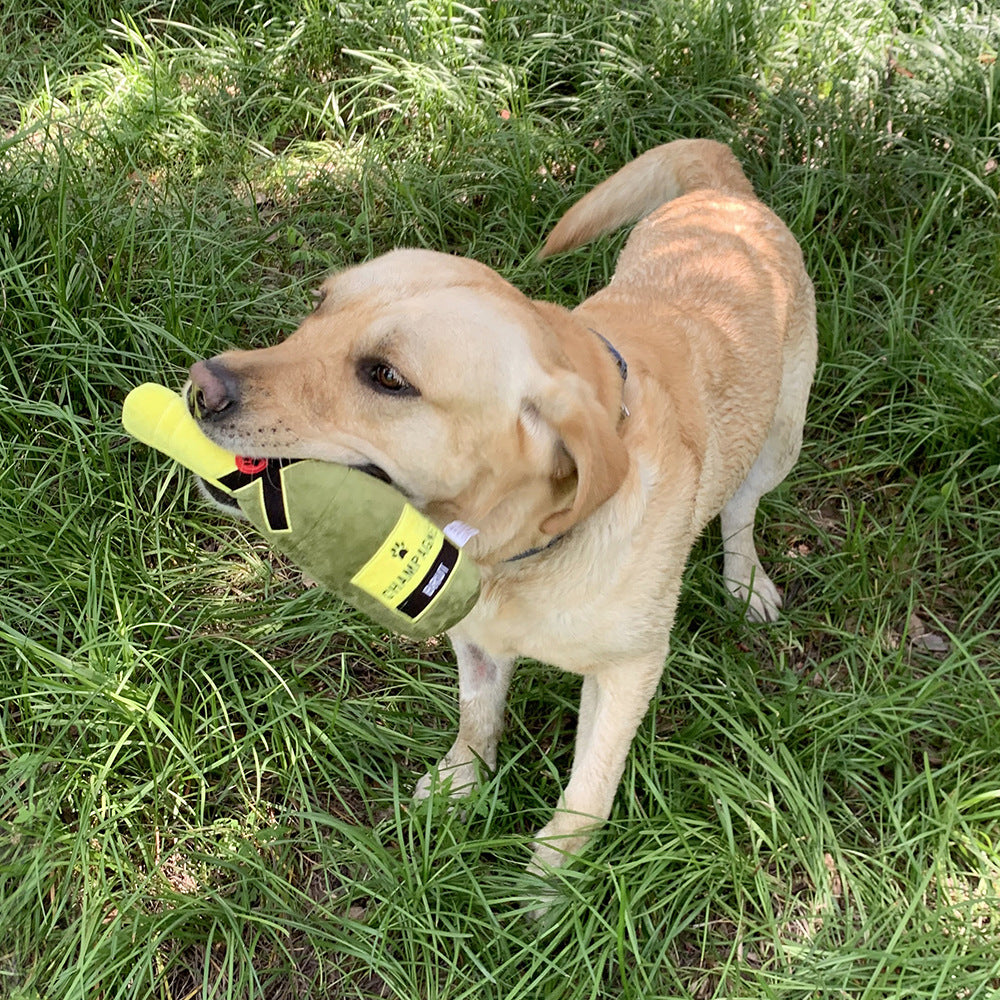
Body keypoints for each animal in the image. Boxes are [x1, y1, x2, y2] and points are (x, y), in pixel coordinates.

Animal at [186, 141, 812, 876]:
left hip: (779, 442)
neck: (513, 551)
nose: (200, 388)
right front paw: (461, 784)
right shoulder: (475, 638)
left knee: (742, 509)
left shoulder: (628, 673)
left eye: (388, 377)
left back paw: (747, 581)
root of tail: (726, 193)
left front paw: (551, 880)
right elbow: (476, 715)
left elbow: (587, 794)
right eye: (317, 304)